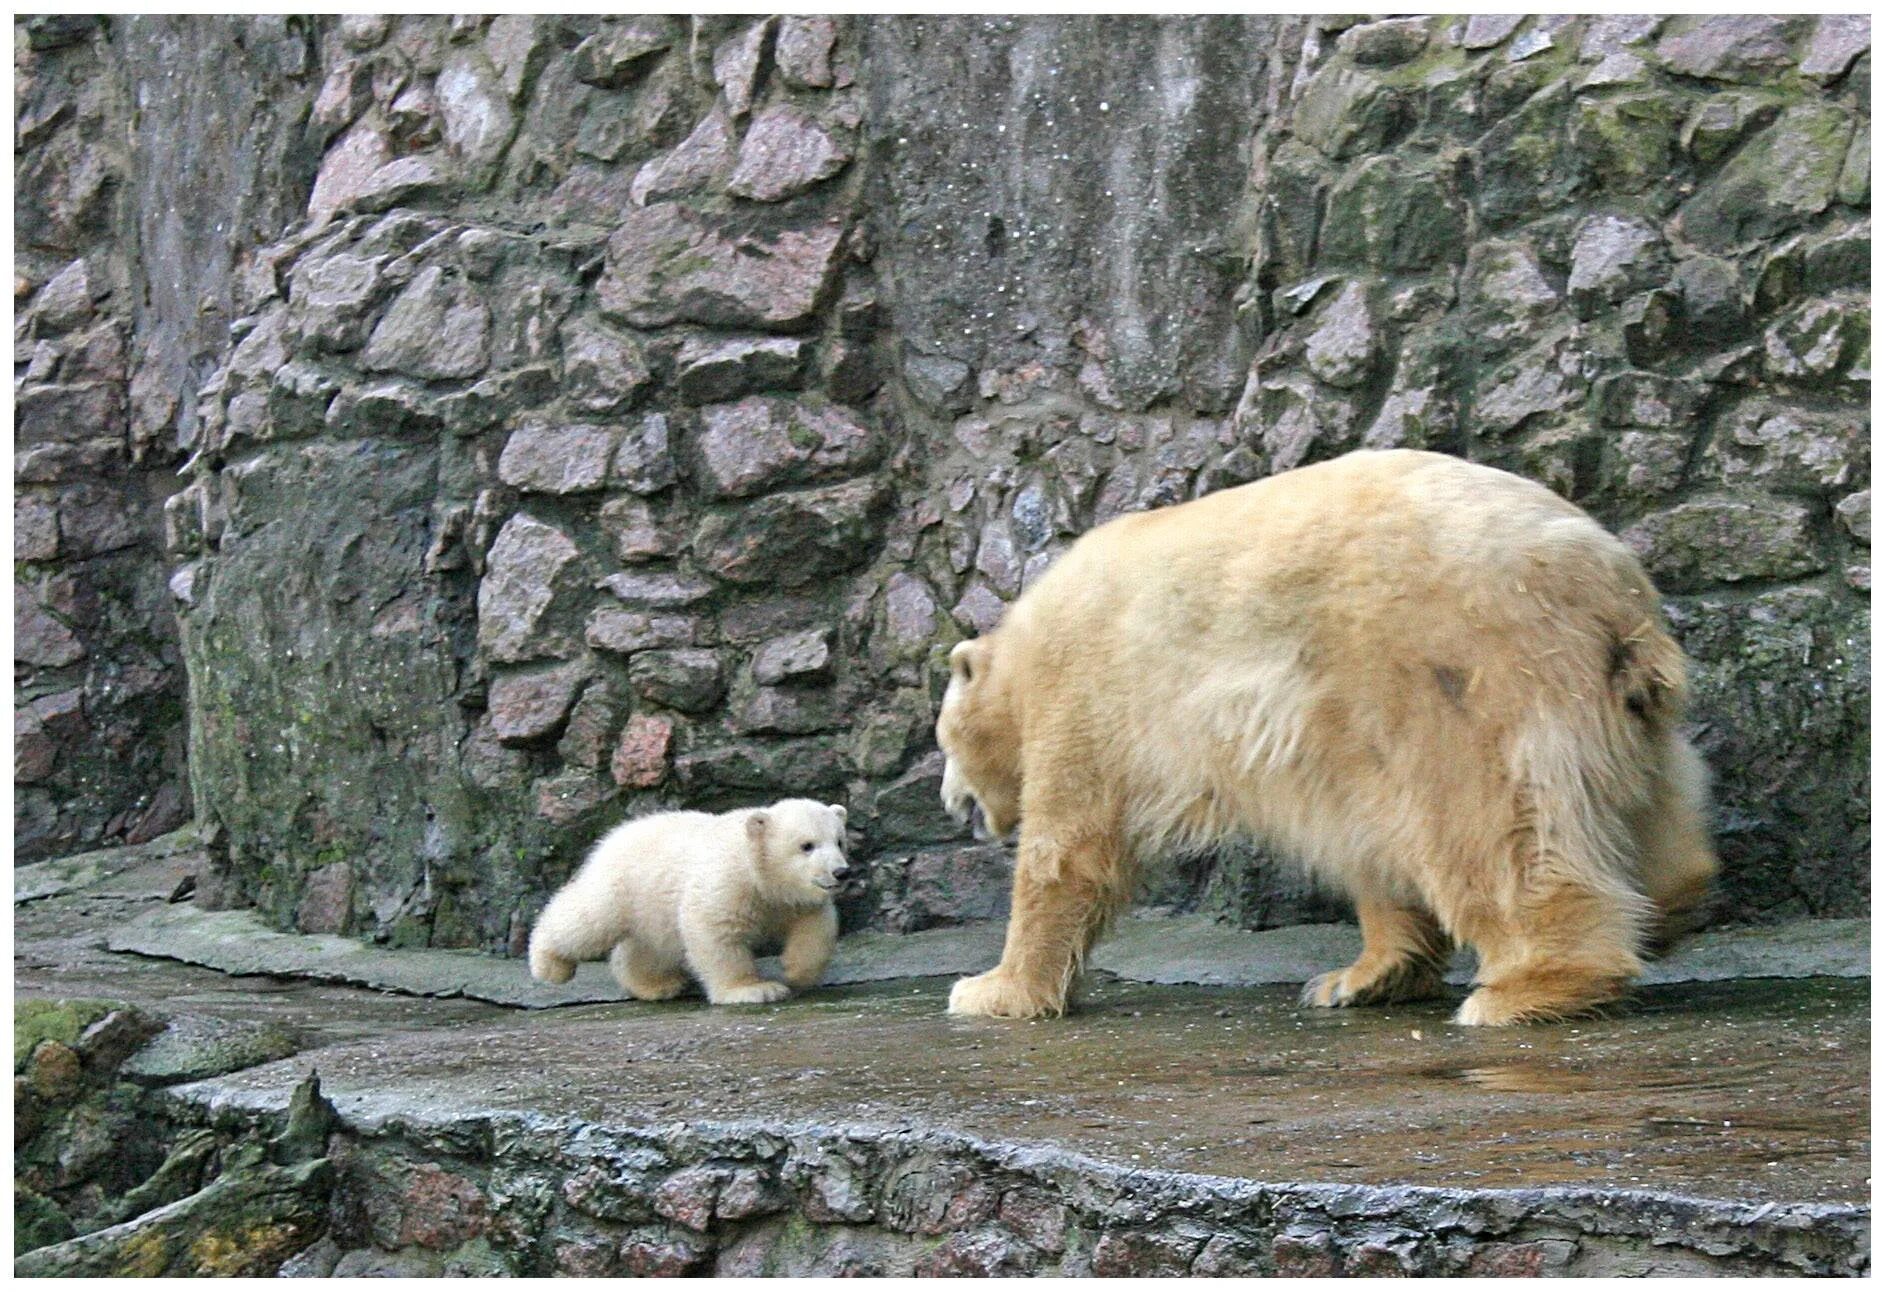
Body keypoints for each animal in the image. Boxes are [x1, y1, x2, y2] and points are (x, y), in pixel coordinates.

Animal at [934, 448, 1719, 1026]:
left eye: (943, 742)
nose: (948, 801)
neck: (1028, 640)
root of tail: (1606, 581)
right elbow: (1371, 843)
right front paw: (1357, 977)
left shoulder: (1090, 689)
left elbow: (1067, 847)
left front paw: (989, 989)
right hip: (1615, 700)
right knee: (1645, 797)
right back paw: (1669, 905)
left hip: (1465, 665)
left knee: (1488, 822)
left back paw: (1527, 989)